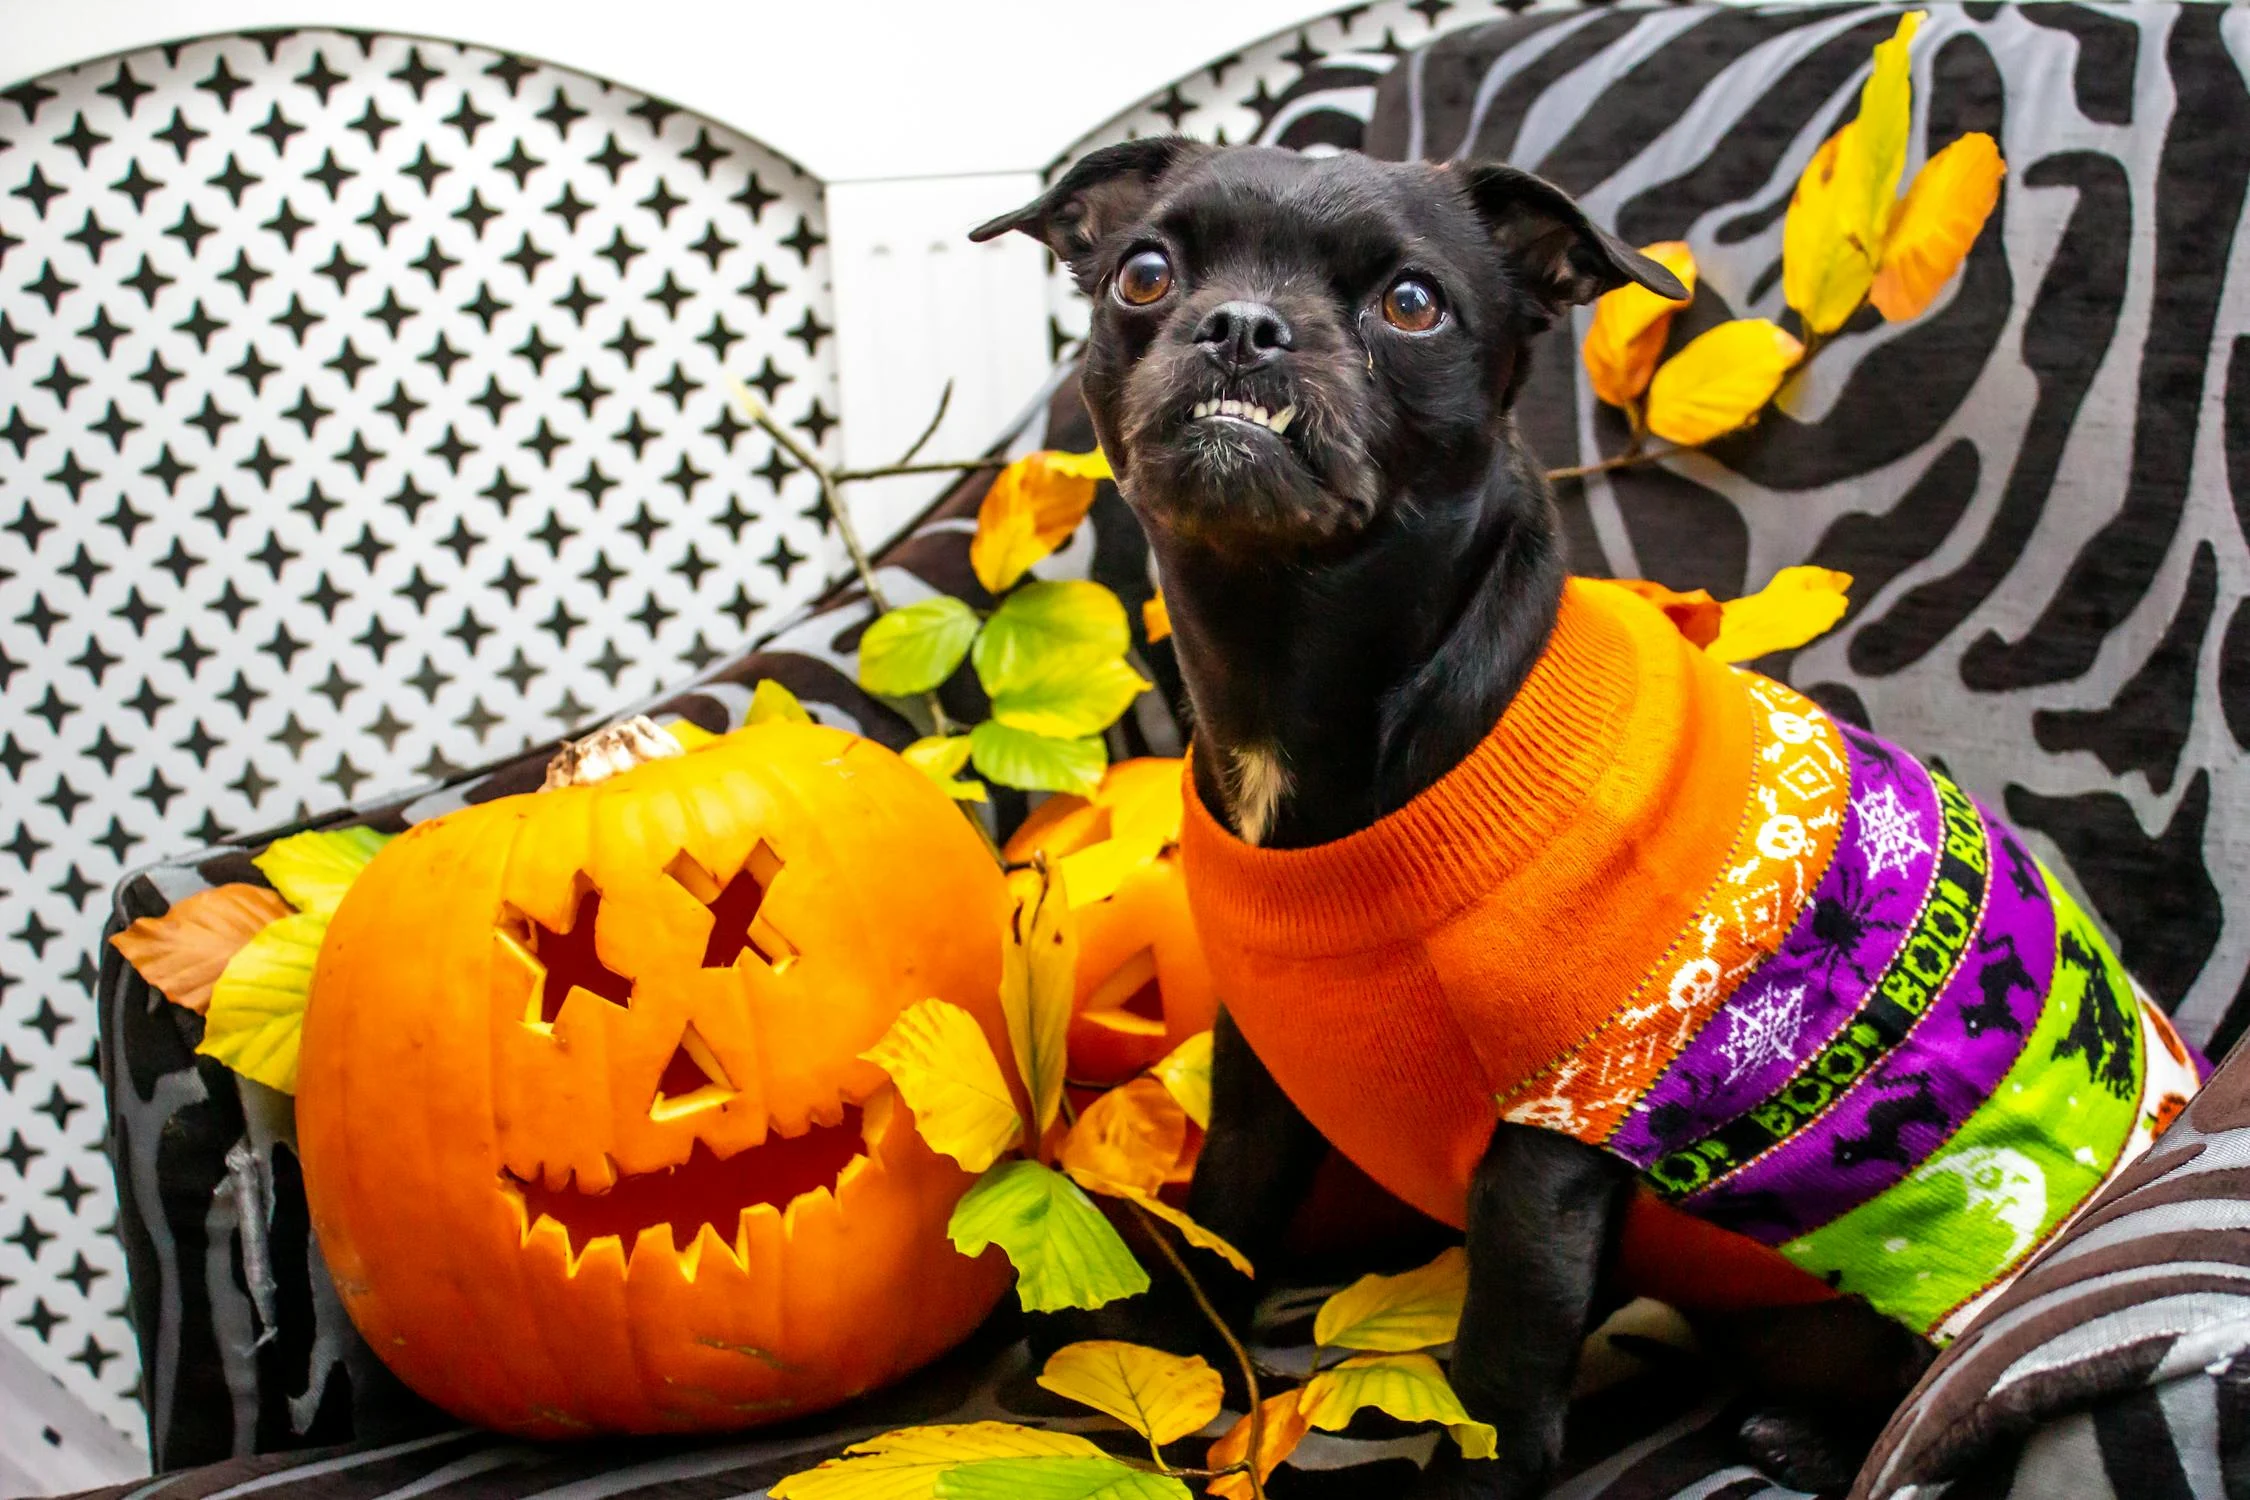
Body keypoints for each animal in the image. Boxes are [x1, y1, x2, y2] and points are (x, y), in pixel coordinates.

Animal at [976, 143, 1926, 1500]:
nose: (1245, 325)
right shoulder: (1263, 1084)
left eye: (1413, 304)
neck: (1297, 676)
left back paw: (1814, 1436)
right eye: (1143, 274)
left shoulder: (1547, 1156)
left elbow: (1500, 1374)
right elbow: (1222, 1228)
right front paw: (1158, 1368)